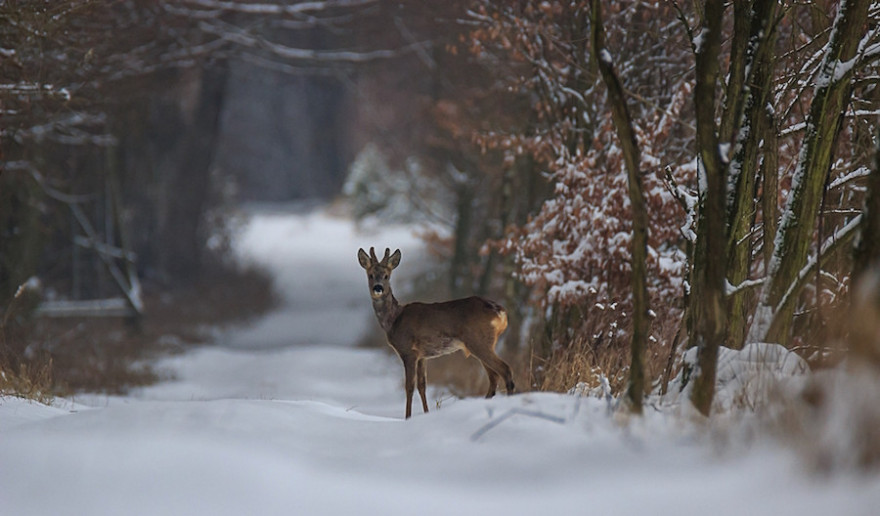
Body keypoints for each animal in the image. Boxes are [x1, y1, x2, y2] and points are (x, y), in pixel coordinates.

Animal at [358, 246, 516, 420]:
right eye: (370, 275)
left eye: (387, 275)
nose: (378, 288)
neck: (394, 319)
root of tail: (501, 313)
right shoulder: (423, 356)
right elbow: (422, 385)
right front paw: (426, 414)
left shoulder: (408, 351)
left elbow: (409, 386)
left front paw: (407, 418)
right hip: (484, 344)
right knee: (494, 378)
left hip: (479, 342)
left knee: (505, 370)